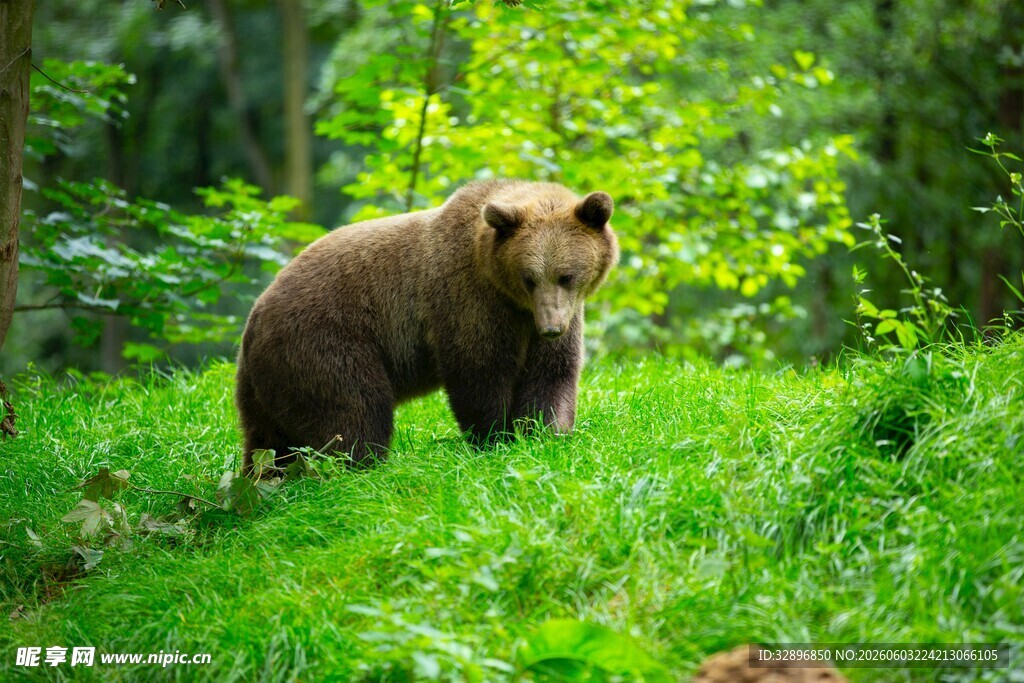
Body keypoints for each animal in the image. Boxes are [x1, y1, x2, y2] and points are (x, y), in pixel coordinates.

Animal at [235, 179, 618, 473]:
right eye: (529, 278)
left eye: (566, 276)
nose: (551, 327)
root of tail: (255, 315)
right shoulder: (469, 299)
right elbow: (478, 371)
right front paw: (495, 438)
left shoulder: (555, 315)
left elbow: (552, 373)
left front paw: (544, 435)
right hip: (326, 339)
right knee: (355, 410)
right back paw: (361, 468)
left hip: (267, 384)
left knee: (267, 439)